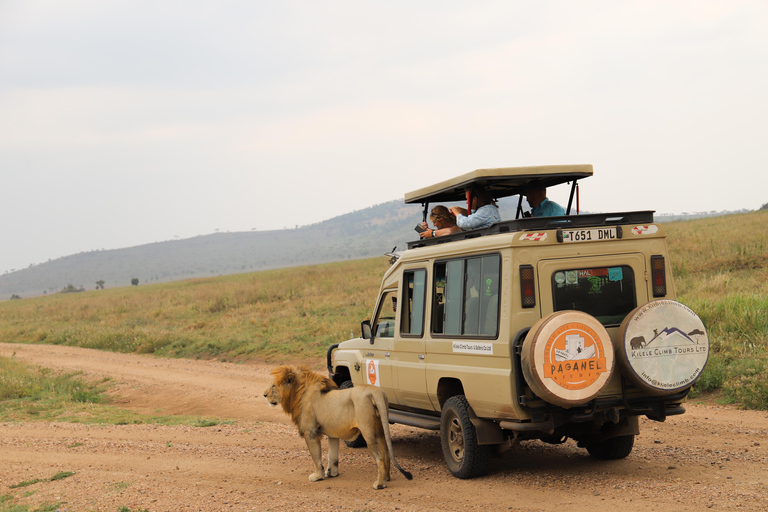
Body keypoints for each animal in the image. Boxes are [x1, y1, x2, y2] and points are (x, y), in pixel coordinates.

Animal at [266, 362, 414, 490]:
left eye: (273, 386)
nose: (264, 395)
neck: (297, 393)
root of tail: (374, 391)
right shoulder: (333, 433)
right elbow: (333, 456)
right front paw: (331, 473)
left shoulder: (310, 432)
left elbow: (316, 456)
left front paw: (318, 476)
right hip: (381, 430)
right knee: (386, 453)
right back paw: (386, 478)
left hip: (368, 432)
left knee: (380, 458)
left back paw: (379, 484)